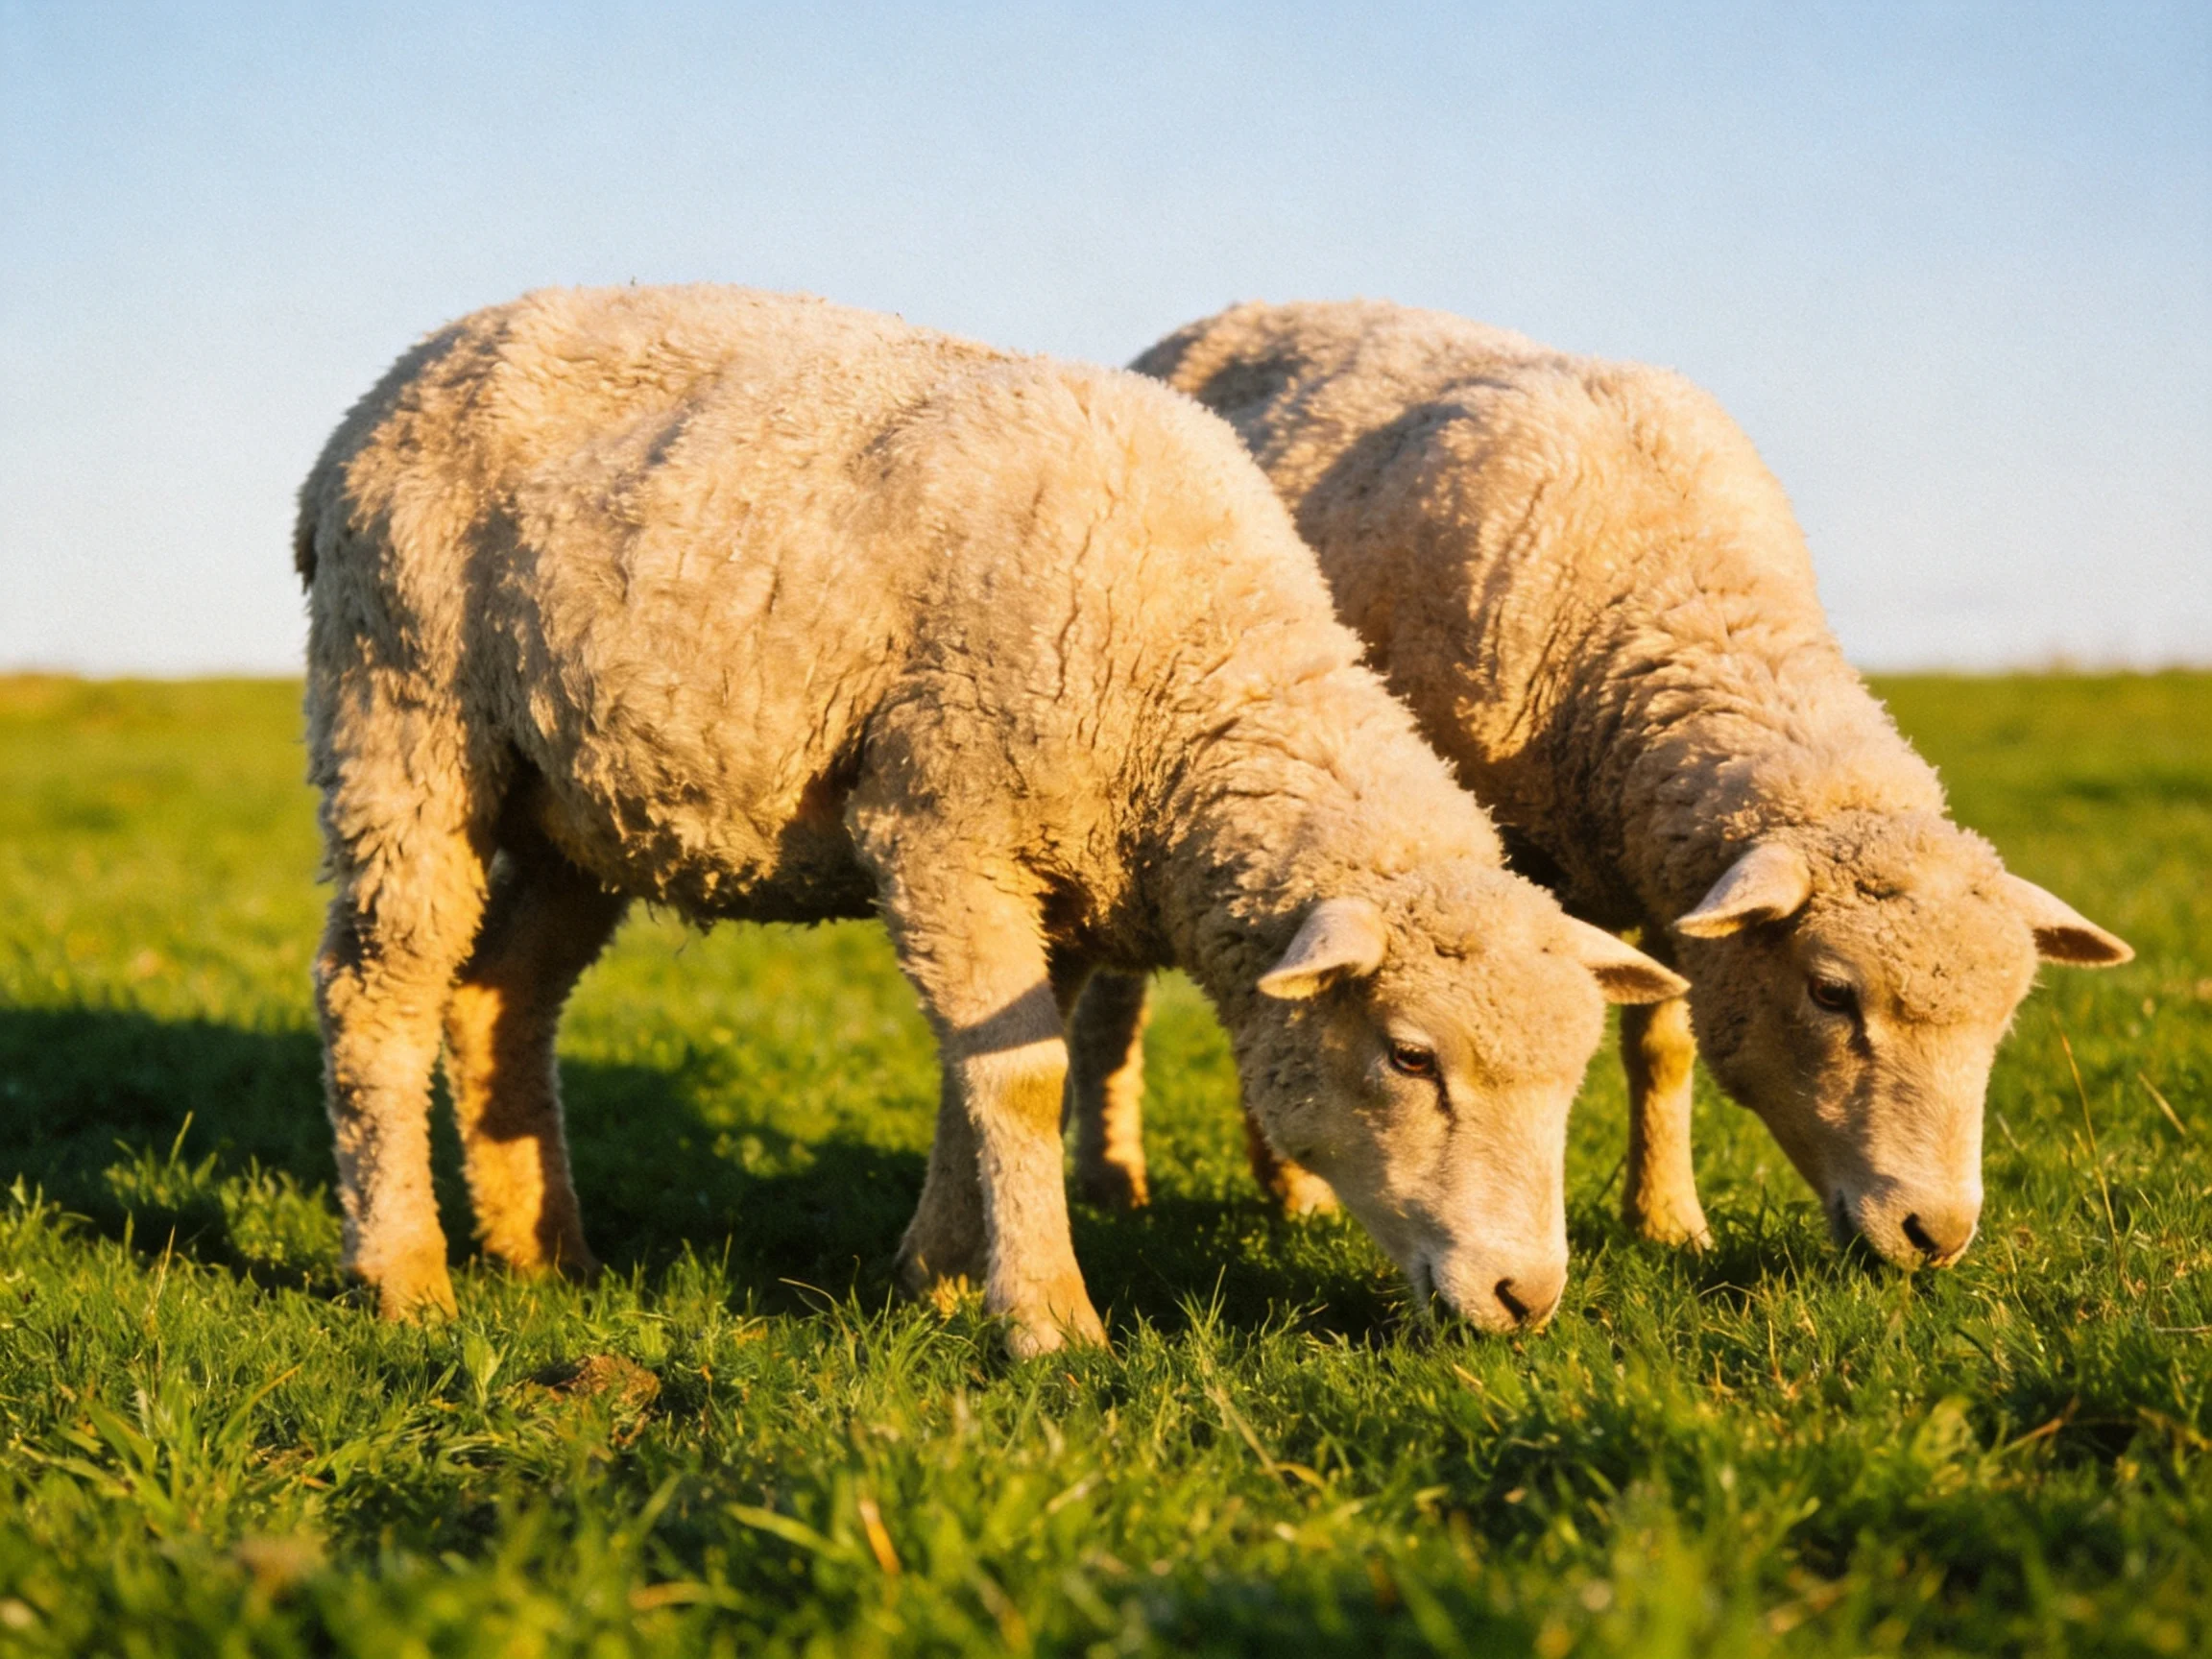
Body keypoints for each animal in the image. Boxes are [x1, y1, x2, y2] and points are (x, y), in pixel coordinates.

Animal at [294, 285, 1688, 1354]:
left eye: (1568, 1078)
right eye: (1409, 1058)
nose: (1527, 1296)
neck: (1191, 673)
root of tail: (386, 395)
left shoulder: (1056, 877)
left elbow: (982, 1072)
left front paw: (942, 1271)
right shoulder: (945, 825)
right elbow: (1020, 1082)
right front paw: (1049, 1318)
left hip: (582, 805)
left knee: (500, 999)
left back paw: (542, 1249)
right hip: (402, 713)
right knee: (377, 989)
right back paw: (403, 1273)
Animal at [1068, 298, 2131, 1269]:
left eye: (2006, 1018)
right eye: (1833, 994)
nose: (1934, 1236)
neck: (1677, 592)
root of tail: (1229, 314)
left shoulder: (1668, 869)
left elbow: (1664, 1049)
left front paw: (1666, 1220)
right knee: (1121, 1007)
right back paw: (1126, 1182)